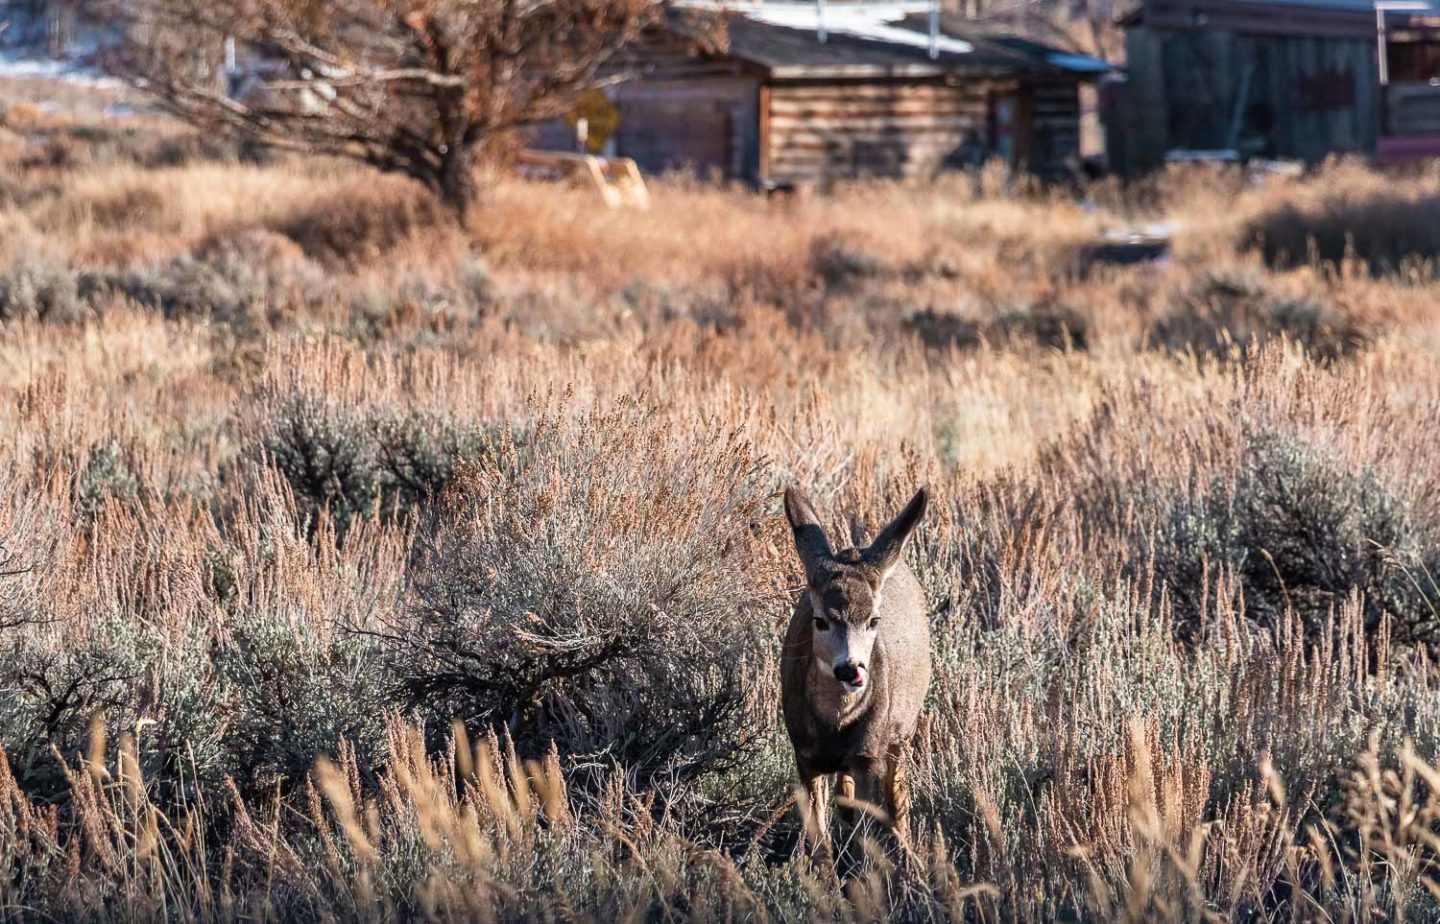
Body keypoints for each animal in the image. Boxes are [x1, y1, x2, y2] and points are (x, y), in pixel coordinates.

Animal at [783, 486, 927, 852]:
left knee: (898, 798)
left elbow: (867, 838)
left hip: (902, 730)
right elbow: (819, 841)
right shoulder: (804, 755)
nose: (851, 669)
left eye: (873, 620)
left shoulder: (868, 754)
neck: (834, 724)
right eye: (820, 620)